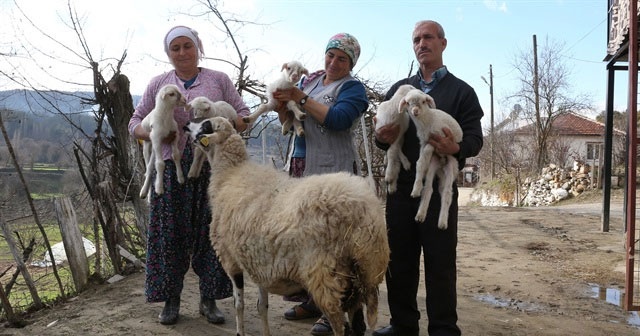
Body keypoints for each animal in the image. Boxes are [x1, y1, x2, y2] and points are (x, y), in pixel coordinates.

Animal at [182, 116, 388, 336]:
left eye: (205, 125)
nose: (186, 125)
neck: (231, 173)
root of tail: (363, 212)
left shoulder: (230, 258)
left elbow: (239, 304)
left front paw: (240, 332)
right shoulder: (258, 261)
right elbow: (261, 306)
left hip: (326, 275)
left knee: (339, 325)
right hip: (364, 273)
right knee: (358, 324)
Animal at [400, 88, 460, 230]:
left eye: (423, 101)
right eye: (408, 103)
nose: (415, 111)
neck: (427, 121)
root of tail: (442, 165)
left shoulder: (438, 139)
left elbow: (426, 153)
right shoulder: (423, 142)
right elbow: (420, 163)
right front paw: (416, 188)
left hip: (452, 166)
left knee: (447, 193)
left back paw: (442, 222)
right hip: (434, 164)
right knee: (428, 189)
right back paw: (420, 215)